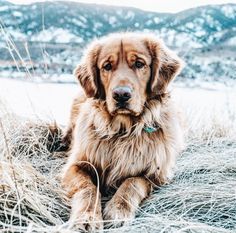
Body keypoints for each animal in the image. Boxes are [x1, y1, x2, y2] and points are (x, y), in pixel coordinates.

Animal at [60, 32, 184, 231]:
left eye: (139, 64)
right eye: (107, 66)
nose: (121, 95)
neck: (122, 130)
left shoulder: (157, 174)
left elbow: (132, 182)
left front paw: (118, 209)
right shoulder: (76, 165)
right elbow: (88, 188)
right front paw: (87, 217)